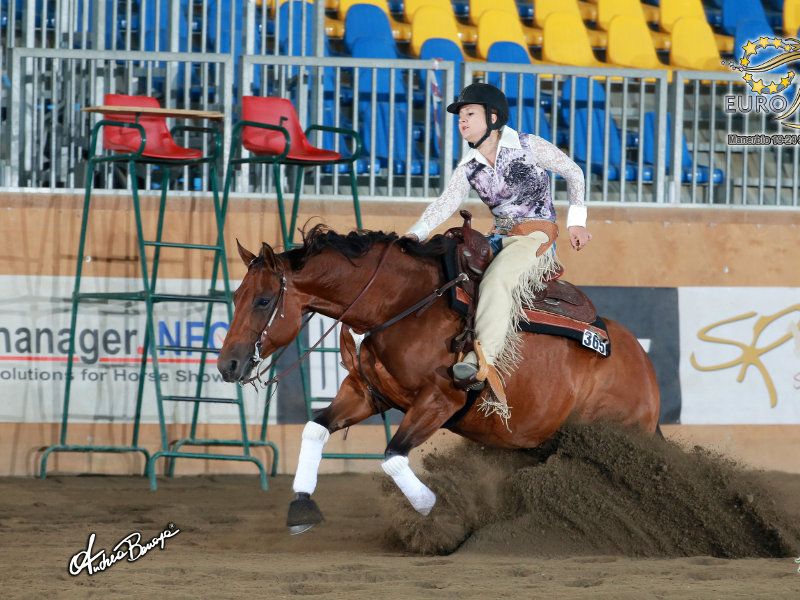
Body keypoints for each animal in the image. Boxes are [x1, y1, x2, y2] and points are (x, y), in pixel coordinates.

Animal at [216, 226, 660, 536]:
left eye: (263, 300)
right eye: (236, 297)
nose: (227, 365)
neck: (404, 306)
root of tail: (643, 367)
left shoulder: (438, 401)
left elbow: (393, 457)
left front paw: (436, 516)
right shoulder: (366, 393)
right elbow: (315, 428)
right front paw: (301, 507)